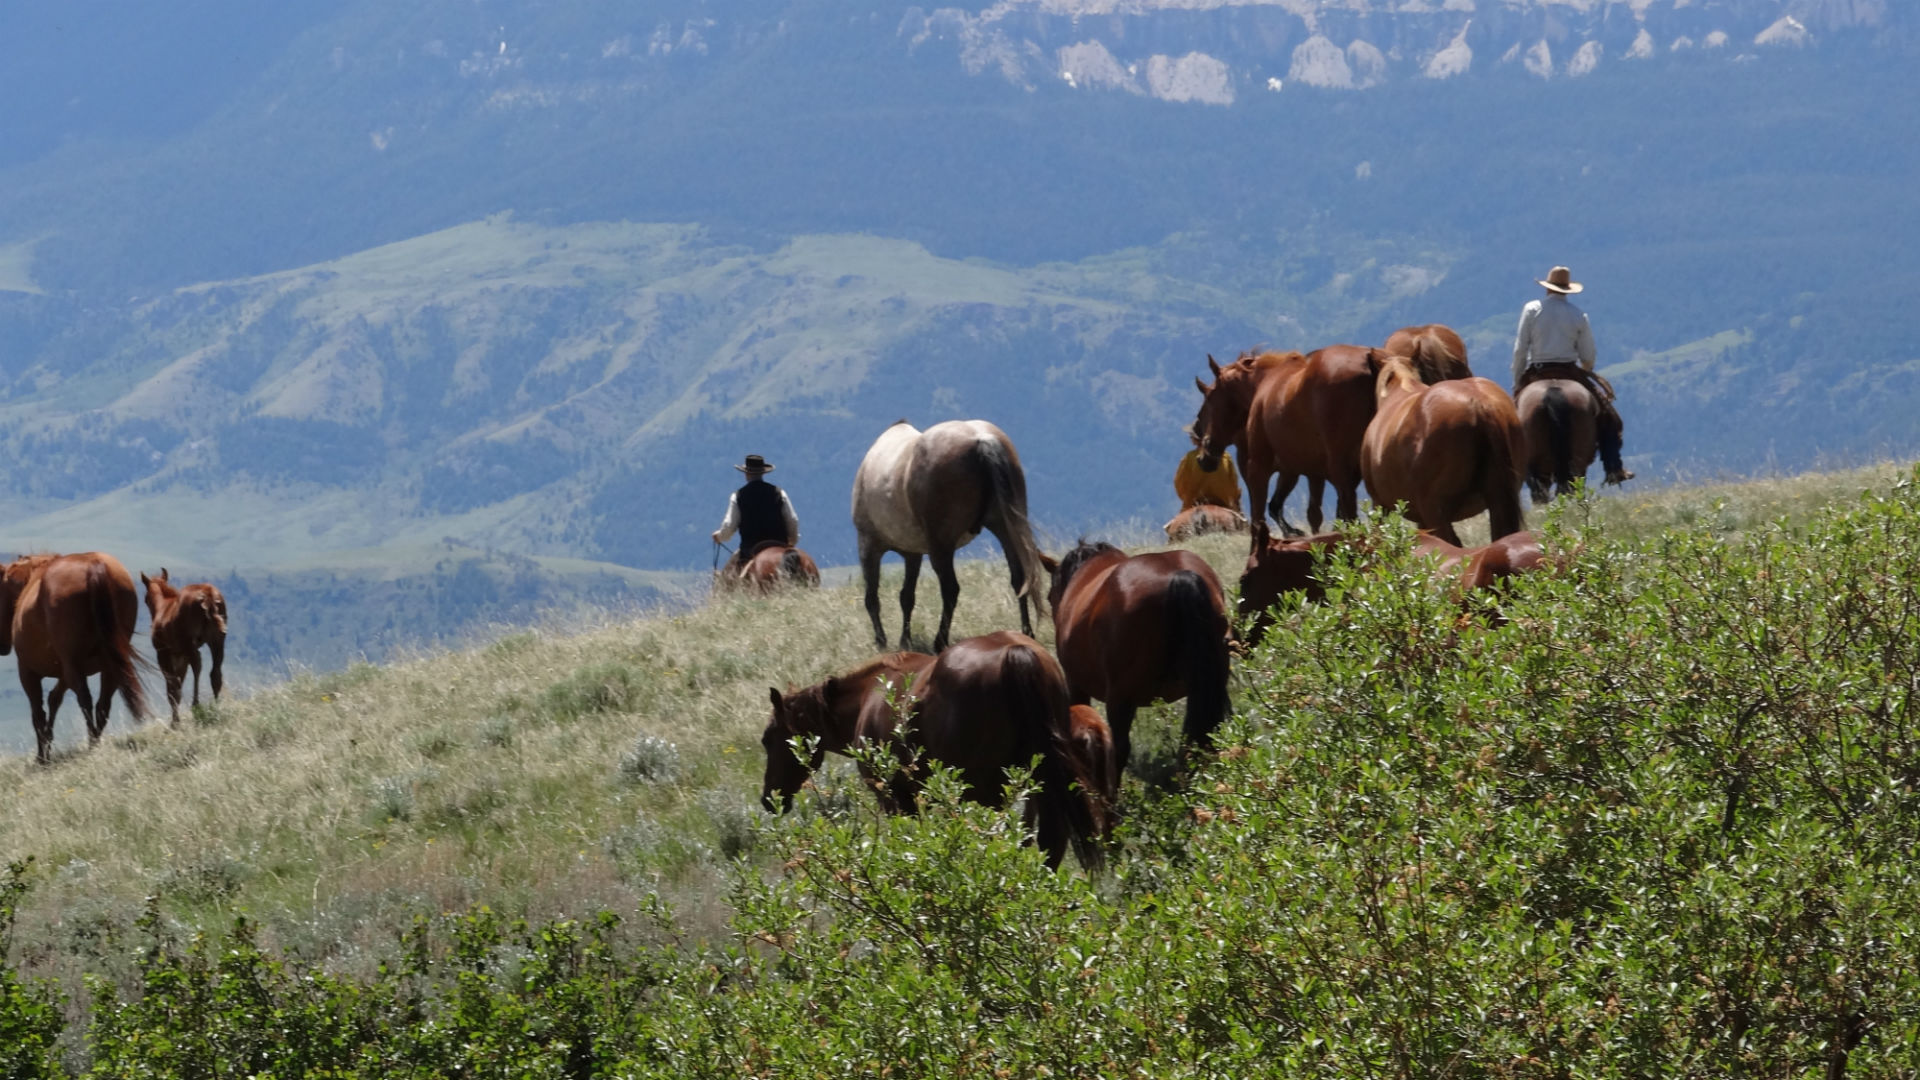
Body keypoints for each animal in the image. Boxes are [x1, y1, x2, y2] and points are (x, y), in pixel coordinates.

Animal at [0, 549, 148, 760]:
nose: (2, 647)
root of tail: (94, 567)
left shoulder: (28, 672)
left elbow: (38, 713)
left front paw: (42, 755)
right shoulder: (66, 670)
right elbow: (54, 699)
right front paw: (47, 744)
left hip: (74, 664)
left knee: (85, 700)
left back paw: (91, 745)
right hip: (110, 663)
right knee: (103, 704)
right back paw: (94, 742)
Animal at [138, 564, 227, 722]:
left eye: (145, 598)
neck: (163, 607)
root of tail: (208, 595)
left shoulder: (163, 653)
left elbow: (173, 688)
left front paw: (175, 722)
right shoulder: (180, 656)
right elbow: (179, 684)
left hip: (189, 643)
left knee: (197, 665)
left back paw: (196, 705)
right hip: (217, 640)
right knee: (215, 673)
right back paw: (217, 708)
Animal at [848, 417, 1044, 645]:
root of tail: (981, 439)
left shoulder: (868, 545)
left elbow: (872, 598)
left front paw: (882, 641)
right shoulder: (913, 554)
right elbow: (906, 597)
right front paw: (905, 640)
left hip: (941, 547)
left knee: (950, 589)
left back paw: (940, 641)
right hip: (1006, 529)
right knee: (1020, 578)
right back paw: (1026, 633)